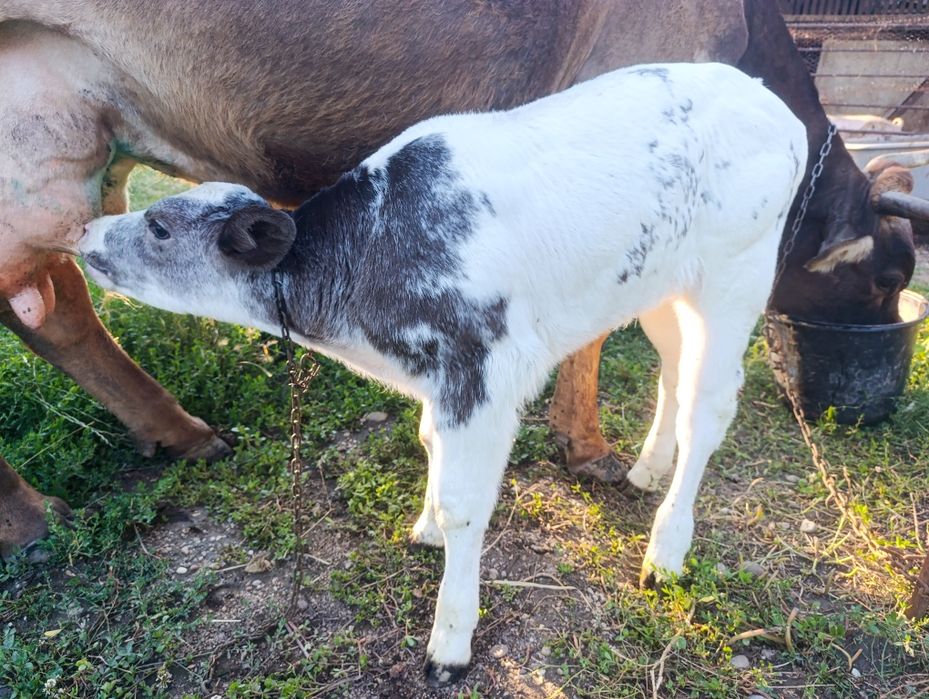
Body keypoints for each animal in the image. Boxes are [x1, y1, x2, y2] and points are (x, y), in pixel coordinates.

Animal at [1, 0, 928, 555]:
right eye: (885, 278)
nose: (849, 399)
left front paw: (618, 456)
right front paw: (588, 447)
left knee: (60, 304)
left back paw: (181, 432)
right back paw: (34, 516)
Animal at [79, 62, 807, 682]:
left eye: (159, 226)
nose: (86, 233)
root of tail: (774, 105)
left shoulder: (480, 368)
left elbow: (465, 506)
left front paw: (450, 639)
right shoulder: (442, 379)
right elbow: (429, 441)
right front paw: (424, 526)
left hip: (736, 275)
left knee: (708, 407)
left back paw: (666, 552)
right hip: (659, 287)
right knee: (673, 373)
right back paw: (648, 469)